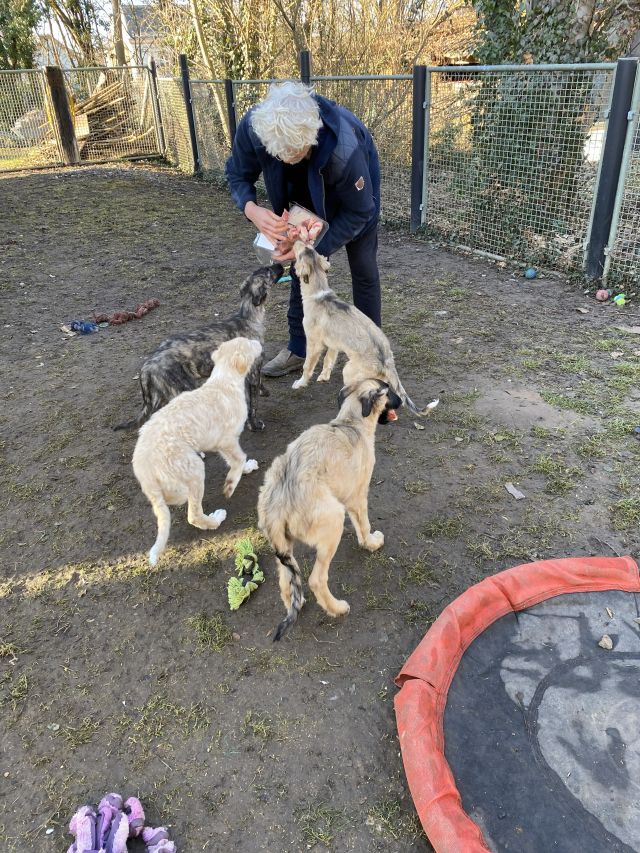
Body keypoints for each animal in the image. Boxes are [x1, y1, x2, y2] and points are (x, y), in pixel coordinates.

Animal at [115, 263, 284, 432]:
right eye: (269, 271)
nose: (280, 264)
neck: (247, 317)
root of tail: (146, 368)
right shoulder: (253, 374)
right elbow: (252, 405)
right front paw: (254, 425)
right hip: (180, 391)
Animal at [133, 337, 262, 566]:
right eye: (249, 343)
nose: (259, 342)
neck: (224, 380)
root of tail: (145, 469)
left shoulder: (221, 443)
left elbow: (234, 460)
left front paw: (246, 468)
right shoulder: (227, 440)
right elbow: (238, 459)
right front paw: (231, 483)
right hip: (193, 470)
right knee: (193, 514)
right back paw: (215, 519)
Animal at [258, 378, 402, 640]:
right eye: (389, 391)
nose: (402, 401)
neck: (351, 423)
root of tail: (278, 499)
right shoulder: (358, 496)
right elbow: (364, 524)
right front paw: (371, 543)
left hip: (284, 546)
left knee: (285, 581)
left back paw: (297, 601)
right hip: (333, 520)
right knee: (316, 579)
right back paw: (336, 608)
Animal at [289, 242, 431, 416]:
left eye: (300, 252)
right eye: (309, 248)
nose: (296, 240)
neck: (319, 294)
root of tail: (387, 361)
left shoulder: (313, 343)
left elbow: (307, 366)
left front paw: (300, 383)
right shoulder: (334, 343)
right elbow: (328, 360)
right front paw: (324, 376)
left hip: (348, 370)